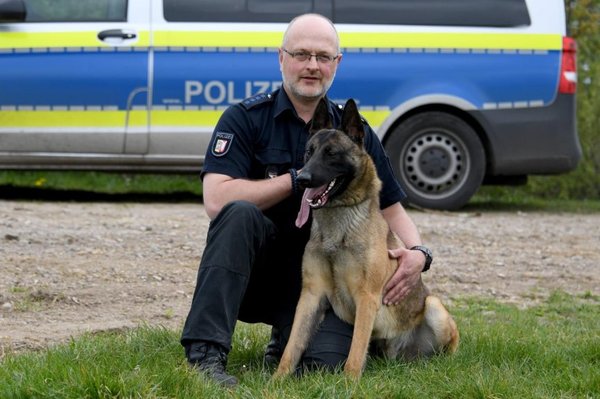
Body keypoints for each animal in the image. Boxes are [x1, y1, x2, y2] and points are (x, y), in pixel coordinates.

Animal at [274, 98, 460, 380]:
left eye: (331, 153)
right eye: (309, 152)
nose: (303, 178)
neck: (338, 224)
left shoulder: (366, 297)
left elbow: (355, 350)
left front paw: (349, 383)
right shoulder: (311, 295)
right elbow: (292, 346)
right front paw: (276, 381)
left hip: (434, 307)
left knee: (451, 346)